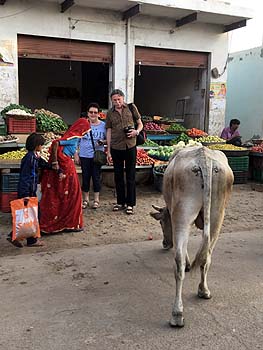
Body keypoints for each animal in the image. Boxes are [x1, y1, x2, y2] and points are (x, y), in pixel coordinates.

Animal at [152, 146, 234, 326]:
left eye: (161, 222)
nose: (164, 243)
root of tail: (204, 158)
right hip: (217, 215)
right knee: (206, 257)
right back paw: (203, 291)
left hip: (182, 213)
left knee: (179, 260)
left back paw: (177, 313)